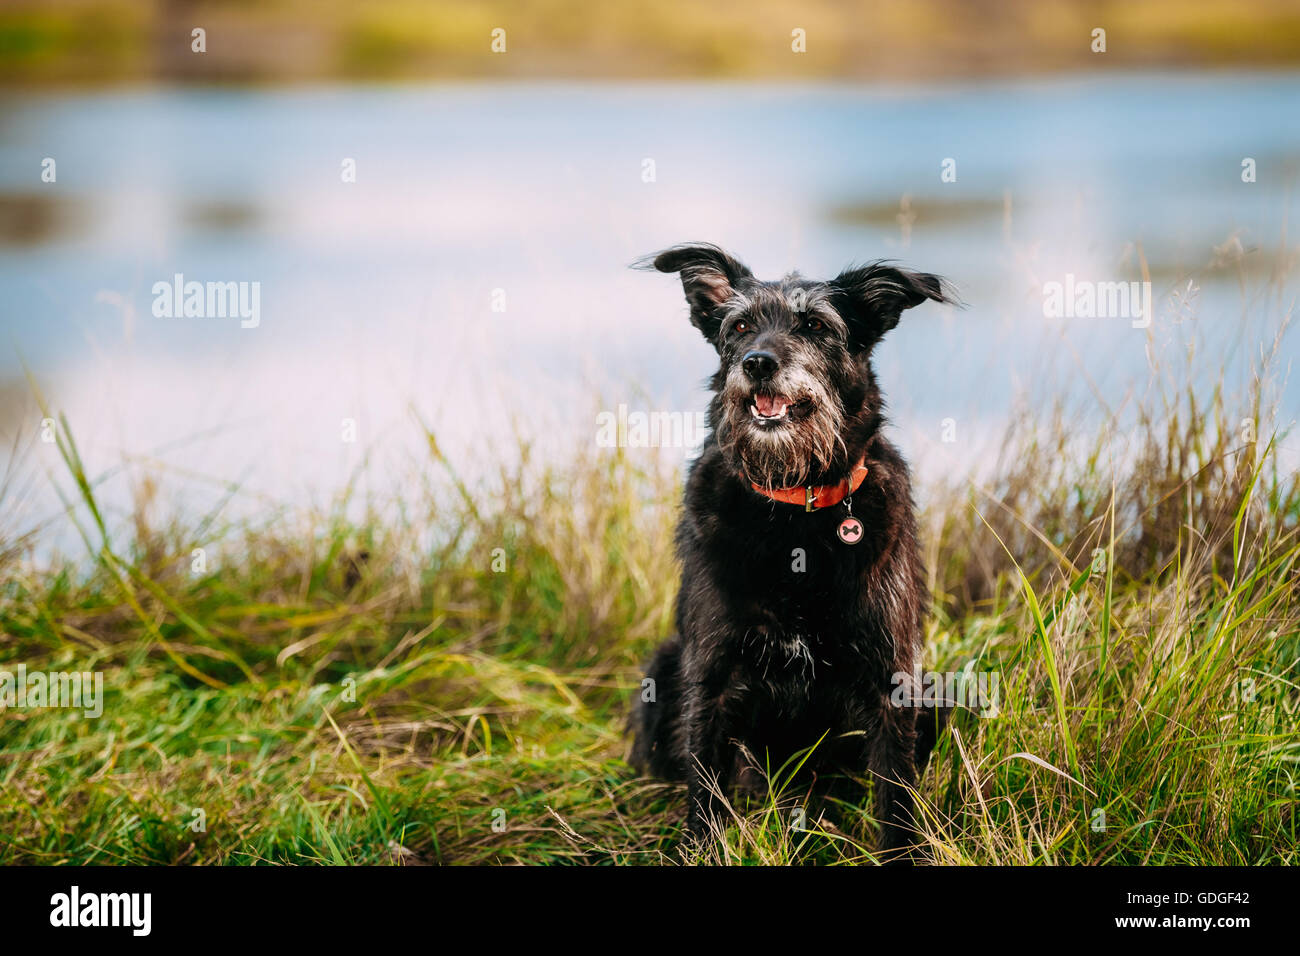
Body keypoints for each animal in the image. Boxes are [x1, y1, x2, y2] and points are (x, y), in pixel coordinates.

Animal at [631, 243, 956, 863]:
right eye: (739, 327)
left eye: (816, 327)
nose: (757, 363)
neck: (794, 508)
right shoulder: (711, 675)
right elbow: (704, 788)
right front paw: (700, 848)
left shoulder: (893, 678)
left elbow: (898, 796)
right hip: (664, 667)